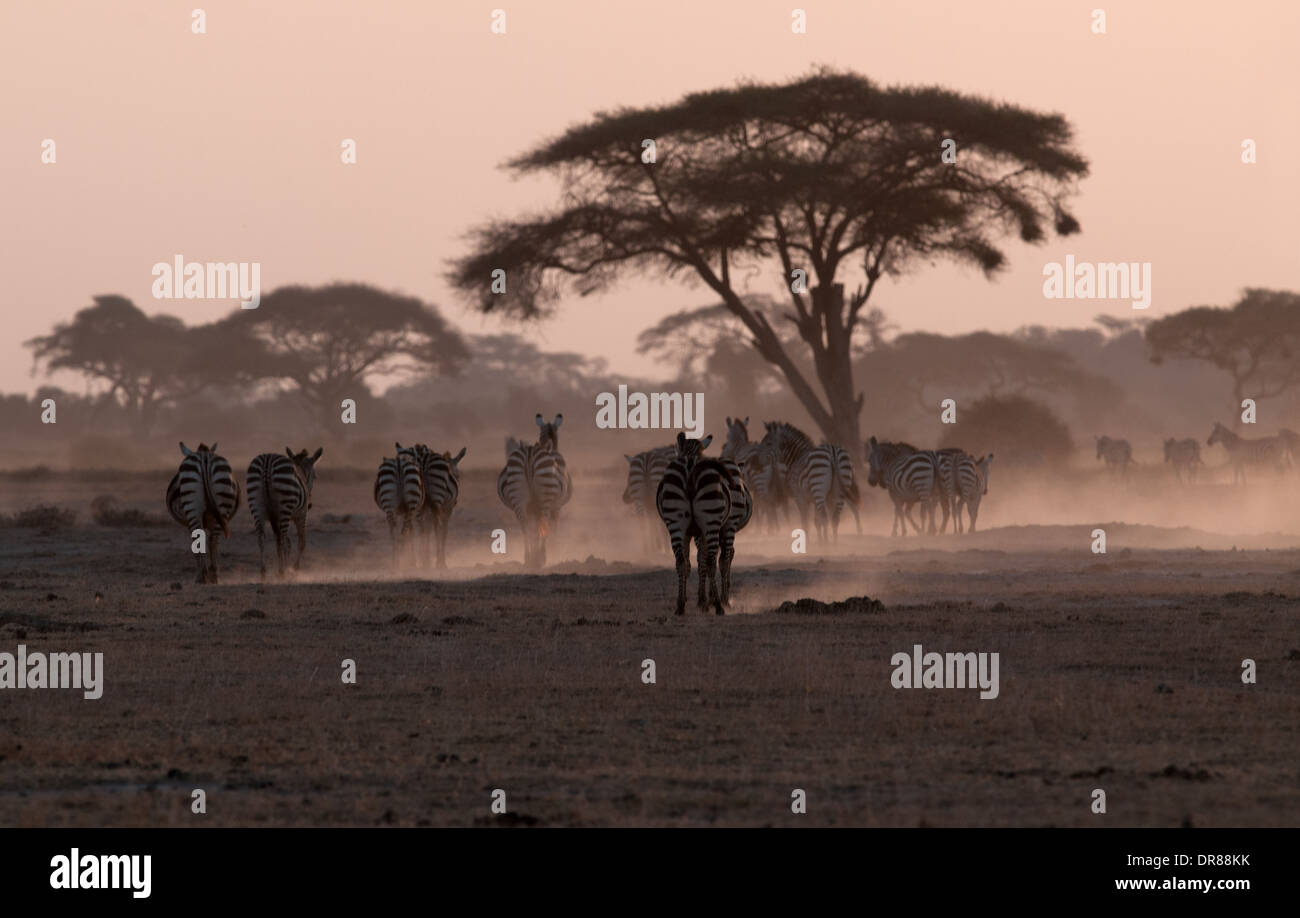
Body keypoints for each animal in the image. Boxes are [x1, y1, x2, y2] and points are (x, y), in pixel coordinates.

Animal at [166, 442, 243, 579]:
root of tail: (204, 457)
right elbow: (208, 541)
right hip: (222, 502)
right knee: (214, 540)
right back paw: (213, 574)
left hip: (192, 508)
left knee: (198, 540)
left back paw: (202, 576)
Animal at [246, 442, 323, 572]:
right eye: (315, 476)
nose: (310, 505)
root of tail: (267, 462)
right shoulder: (302, 514)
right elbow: (301, 542)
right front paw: (294, 567)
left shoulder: (276, 518)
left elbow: (284, 542)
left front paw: (285, 565)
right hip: (285, 507)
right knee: (282, 538)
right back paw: (282, 572)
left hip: (256, 504)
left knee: (261, 537)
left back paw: (264, 571)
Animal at [395, 436, 467, 564]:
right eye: (457, 475)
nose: (456, 502)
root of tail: (422, 458)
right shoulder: (447, 507)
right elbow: (443, 530)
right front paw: (440, 560)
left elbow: (427, 528)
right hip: (434, 502)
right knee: (433, 526)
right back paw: (434, 562)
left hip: (414, 499)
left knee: (413, 527)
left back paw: (414, 561)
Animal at [493, 408, 572, 564]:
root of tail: (529, 453)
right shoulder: (557, 507)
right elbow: (551, 529)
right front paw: (552, 551)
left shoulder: (532, 508)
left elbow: (533, 528)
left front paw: (535, 552)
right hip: (546, 498)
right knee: (544, 522)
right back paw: (541, 557)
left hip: (518, 497)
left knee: (524, 525)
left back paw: (529, 558)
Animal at [655, 431, 738, 613]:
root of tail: (690, 466)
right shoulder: (699, 532)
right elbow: (701, 561)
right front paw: (704, 601)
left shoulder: (688, 532)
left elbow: (689, 563)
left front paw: (694, 599)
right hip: (710, 521)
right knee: (711, 561)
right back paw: (718, 606)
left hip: (676, 522)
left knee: (681, 561)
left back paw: (680, 607)